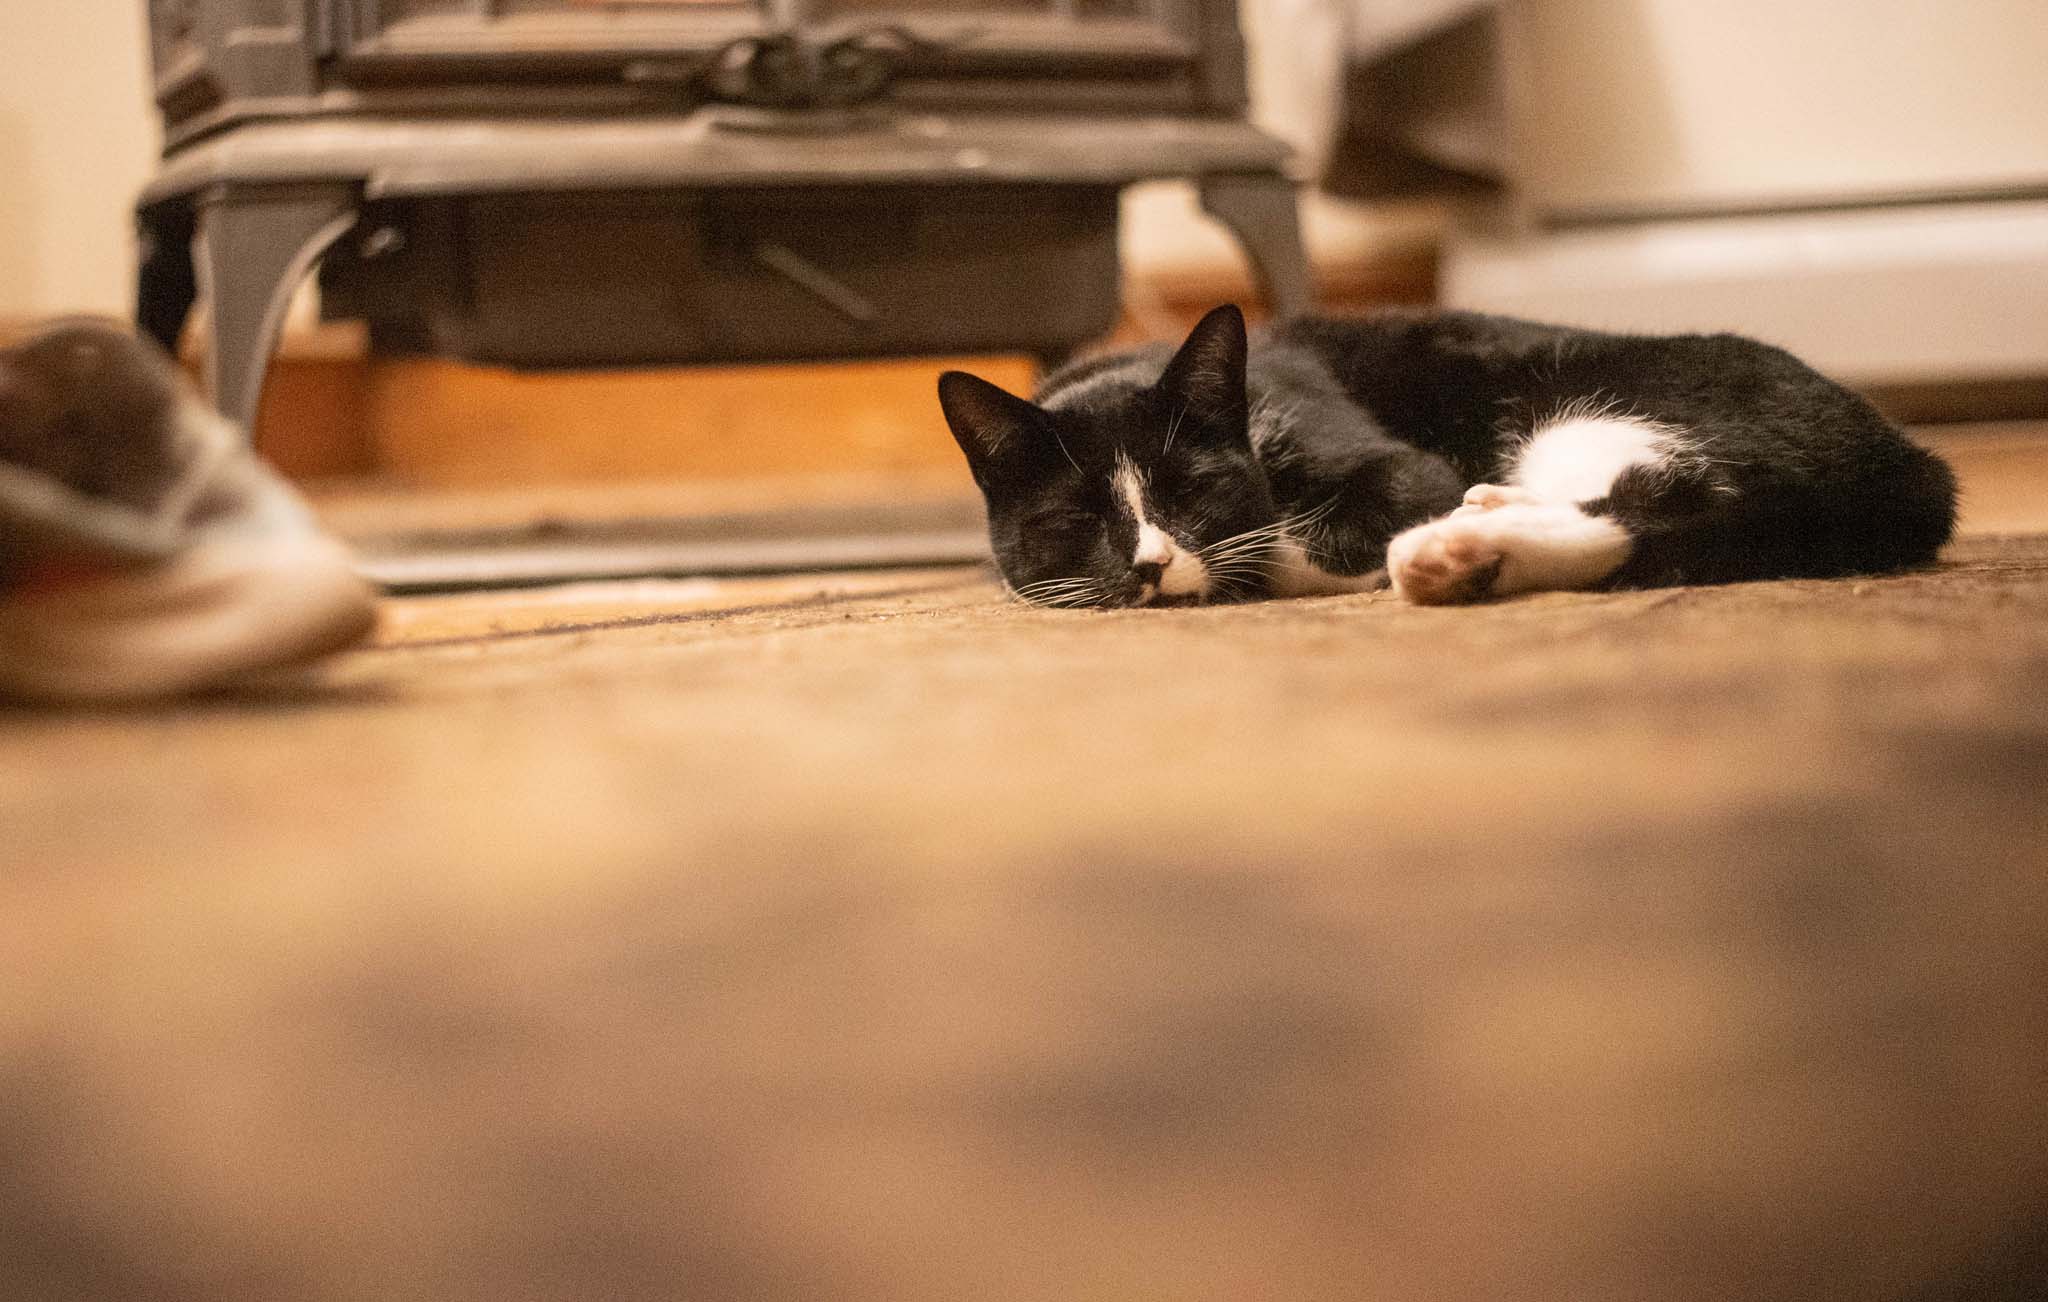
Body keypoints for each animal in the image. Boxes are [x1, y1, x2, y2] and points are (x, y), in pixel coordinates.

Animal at [936, 305, 1957, 607]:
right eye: (1075, 517)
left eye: (1193, 489)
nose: (1148, 565)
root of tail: (1915, 464)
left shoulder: (1377, 455)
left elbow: (1303, 533)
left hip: (1579, 407)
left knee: (1671, 508)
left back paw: (1454, 548)